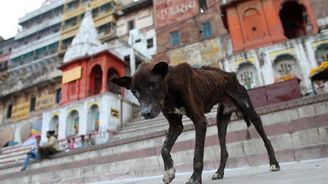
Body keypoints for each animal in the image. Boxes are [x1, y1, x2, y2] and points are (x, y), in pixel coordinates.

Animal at [112, 62, 280, 184]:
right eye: (134, 91)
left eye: (152, 85)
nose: (145, 113)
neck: (170, 89)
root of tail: (231, 75)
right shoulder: (176, 126)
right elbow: (164, 149)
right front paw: (169, 171)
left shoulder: (200, 121)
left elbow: (197, 153)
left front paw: (194, 178)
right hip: (221, 122)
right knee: (224, 151)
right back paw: (219, 172)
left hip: (251, 112)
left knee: (266, 139)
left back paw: (274, 163)